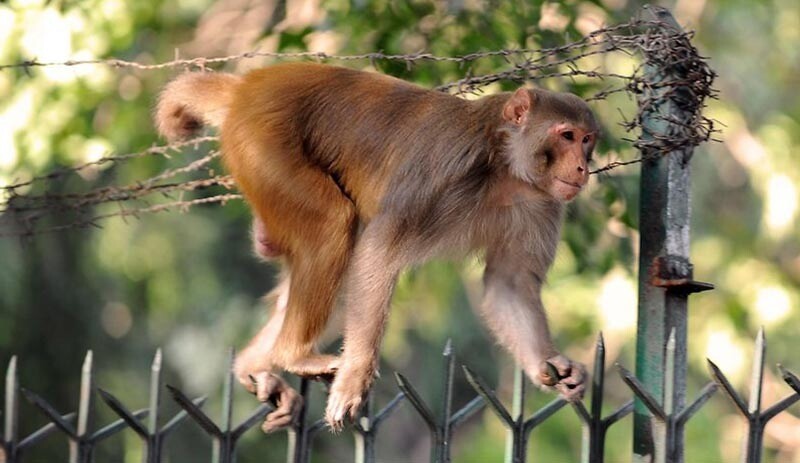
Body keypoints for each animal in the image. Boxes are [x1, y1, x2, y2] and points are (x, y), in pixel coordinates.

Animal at [155, 62, 600, 432]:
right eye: (566, 136)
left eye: (587, 140)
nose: (583, 168)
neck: (505, 168)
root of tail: (250, 84)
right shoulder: (444, 172)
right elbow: (378, 253)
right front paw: (355, 378)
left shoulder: (541, 205)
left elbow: (509, 283)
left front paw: (551, 363)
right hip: (263, 143)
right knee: (333, 226)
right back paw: (294, 354)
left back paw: (254, 364)